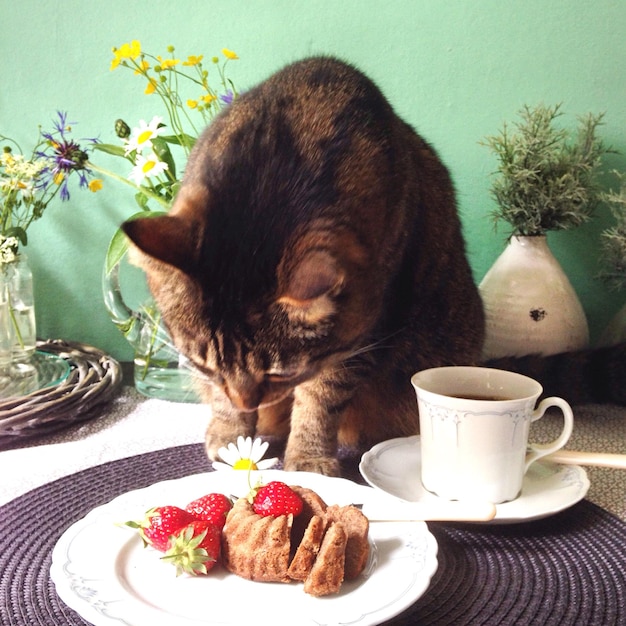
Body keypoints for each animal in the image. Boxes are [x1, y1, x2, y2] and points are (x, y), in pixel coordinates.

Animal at [123, 58, 624, 476]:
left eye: (280, 373)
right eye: (203, 363)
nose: (245, 399)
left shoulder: (362, 332)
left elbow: (320, 399)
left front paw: (307, 457)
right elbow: (227, 406)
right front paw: (232, 435)